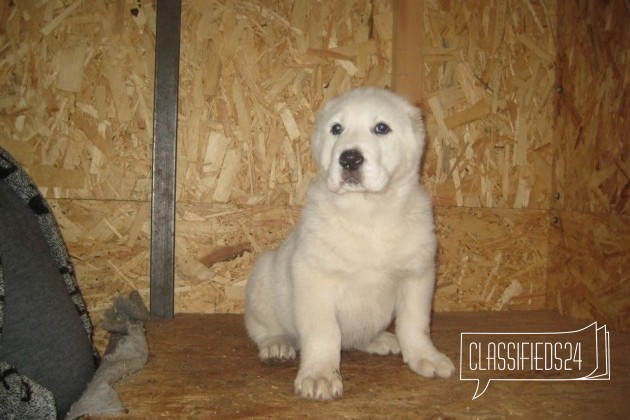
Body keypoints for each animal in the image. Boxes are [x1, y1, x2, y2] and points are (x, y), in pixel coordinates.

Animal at [244, 88, 456, 400]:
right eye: (336, 129)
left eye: (381, 128)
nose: (350, 158)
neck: (367, 213)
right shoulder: (314, 278)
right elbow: (324, 332)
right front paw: (320, 374)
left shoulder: (417, 275)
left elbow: (416, 324)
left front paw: (425, 356)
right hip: (262, 277)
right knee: (263, 327)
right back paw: (277, 345)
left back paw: (381, 340)